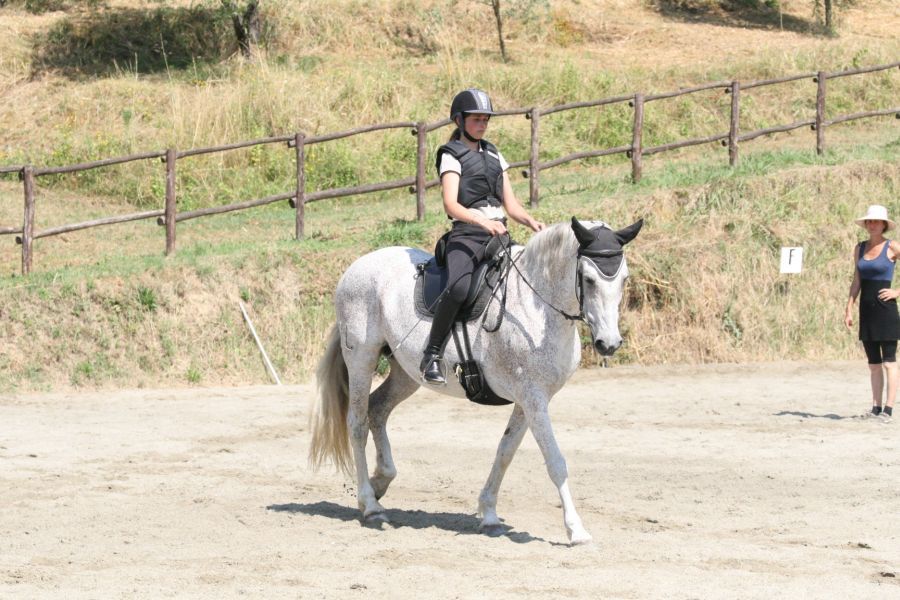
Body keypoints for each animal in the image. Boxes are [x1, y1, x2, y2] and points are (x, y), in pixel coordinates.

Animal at [310, 217, 640, 544]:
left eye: (624, 278)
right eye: (589, 279)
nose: (609, 344)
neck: (537, 306)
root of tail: (357, 265)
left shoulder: (529, 399)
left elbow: (505, 451)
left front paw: (489, 514)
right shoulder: (533, 398)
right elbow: (555, 461)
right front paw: (576, 529)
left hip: (406, 373)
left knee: (378, 409)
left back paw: (381, 482)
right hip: (361, 359)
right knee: (357, 423)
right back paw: (369, 505)